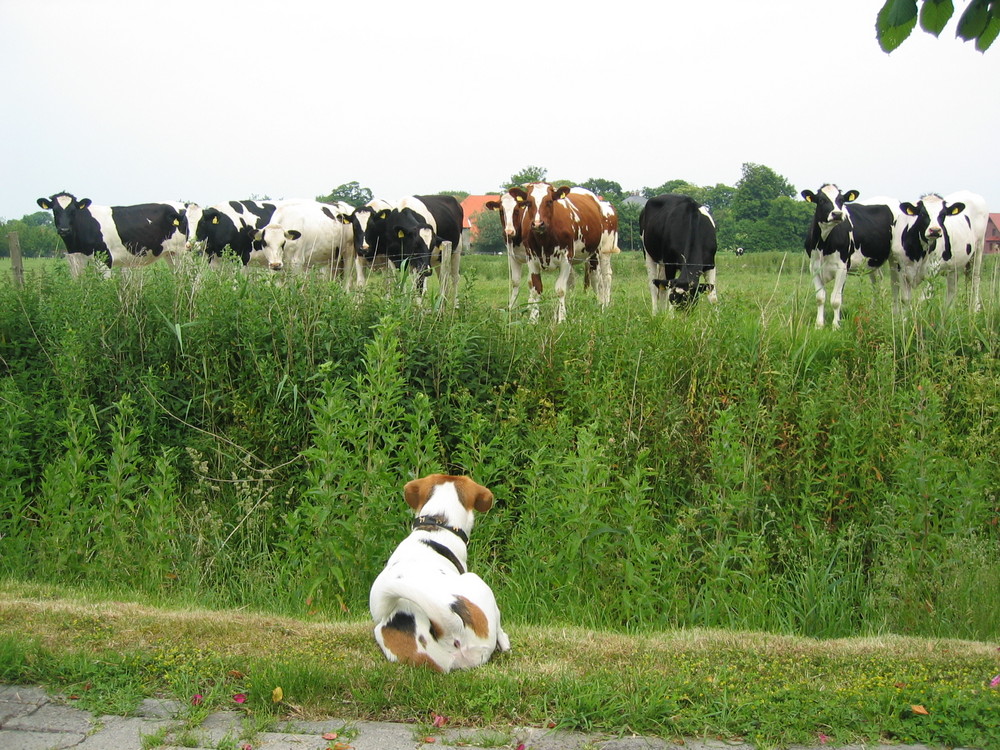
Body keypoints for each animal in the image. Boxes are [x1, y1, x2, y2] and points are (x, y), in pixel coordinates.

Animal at [37, 192, 188, 278]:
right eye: (55, 210)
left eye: (73, 210)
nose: (64, 230)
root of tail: (182, 205)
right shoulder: (75, 261)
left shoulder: (104, 259)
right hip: (171, 254)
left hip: (182, 253)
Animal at [516, 184, 616, 324]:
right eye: (529, 202)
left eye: (549, 201)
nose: (537, 224)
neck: (544, 240)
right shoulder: (531, 259)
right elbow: (536, 289)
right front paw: (533, 319)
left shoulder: (565, 259)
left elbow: (560, 289)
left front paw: (561, 319)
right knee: (587, 280)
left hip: (601, 252)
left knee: (602, 278)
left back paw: (603, 305)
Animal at [796, 185, 900, 328]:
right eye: (822, 200)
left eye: (841, 200)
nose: (837, 214)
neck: (824, 244)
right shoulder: (814, 267)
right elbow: (820, 297)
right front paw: (819, 325)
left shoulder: (841, 267)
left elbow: (836, 299)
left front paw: (836, 325)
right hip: (871, 262)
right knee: (876, 283)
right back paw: (873, 312)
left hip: (897, 257)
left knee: (895, 284)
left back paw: (895, 314)